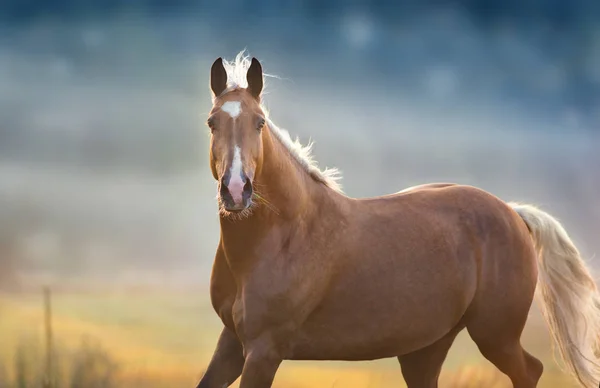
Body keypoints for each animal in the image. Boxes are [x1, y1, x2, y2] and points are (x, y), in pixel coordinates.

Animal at [197, 52, 600, 388]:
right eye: (212, 123)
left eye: (260, 123)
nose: (236, 190)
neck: (282, 237)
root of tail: (513, 212)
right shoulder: (232, 342)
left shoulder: (265, 350)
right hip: (426, 349)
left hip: (496, 334)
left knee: (530, 371)